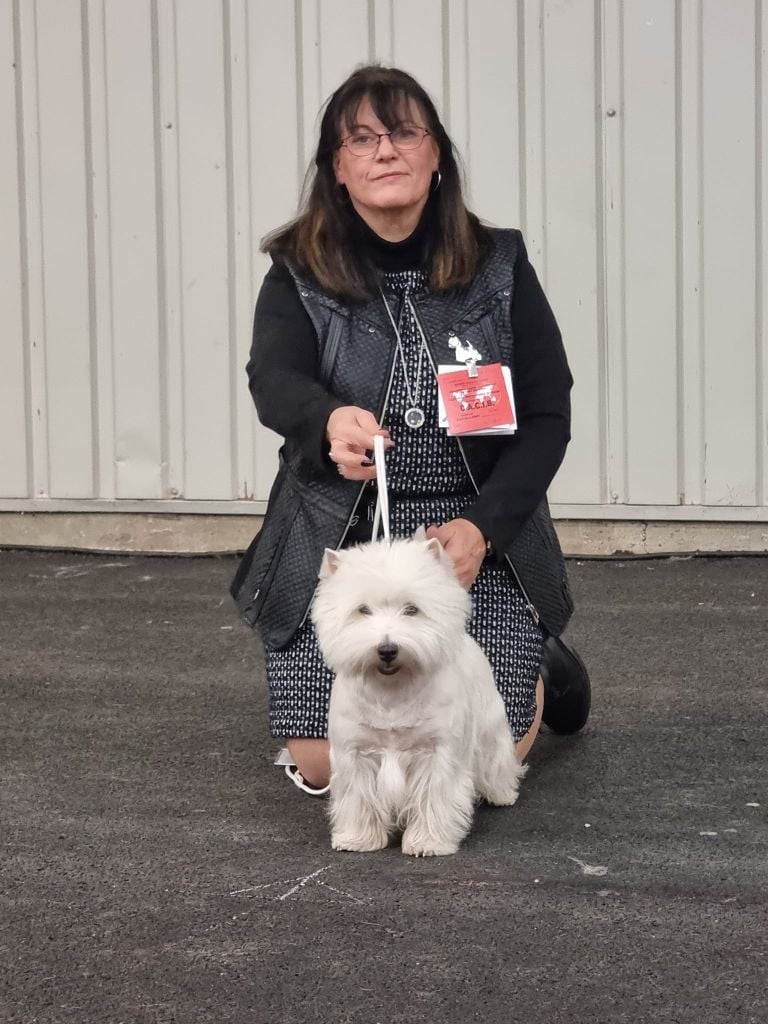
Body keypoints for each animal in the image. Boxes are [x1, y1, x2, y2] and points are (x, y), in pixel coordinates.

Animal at [309, 536, 528, 856]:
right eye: (362, 610)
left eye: (412, 609)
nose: (387, 649)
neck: (391, 691)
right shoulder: (355, 753)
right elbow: (359, 799)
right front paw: (357, 839)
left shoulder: (437, 753)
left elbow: (433, 798)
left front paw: (428, 842)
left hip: (490, 723)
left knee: (495, 758)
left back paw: (502, 793)